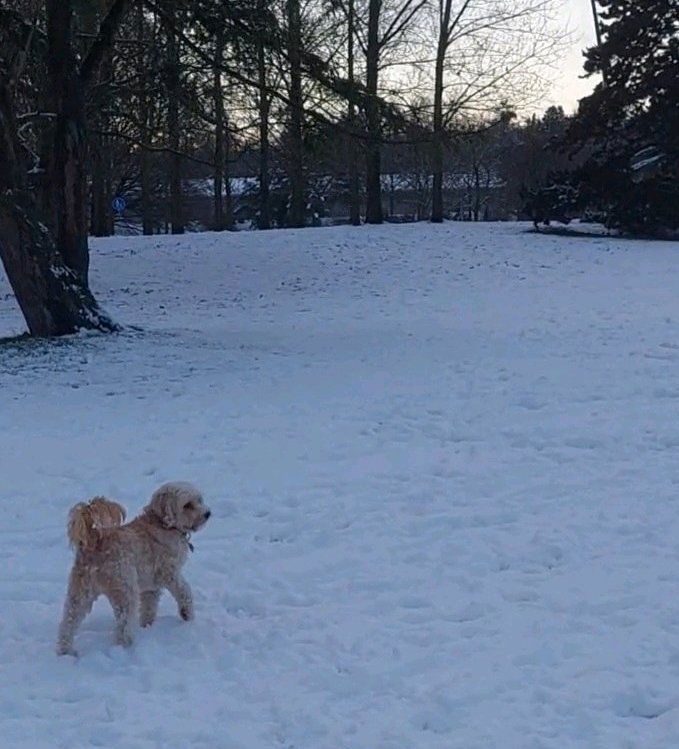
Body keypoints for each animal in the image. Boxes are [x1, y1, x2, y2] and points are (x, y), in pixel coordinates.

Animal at [56, 481, 210, 656]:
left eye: (199, 500)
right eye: (187, 505)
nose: (207, 513)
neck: (163, 524)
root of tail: (95, 541)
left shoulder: (150, 586)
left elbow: (149, 607)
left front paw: (147, 626)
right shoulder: (168, 573)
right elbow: (184, 591)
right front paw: (187, 614)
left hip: (80, 593)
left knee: (68, 622)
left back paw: (65, 651)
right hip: (125, 590)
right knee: (123, 624)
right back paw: (125, 647)